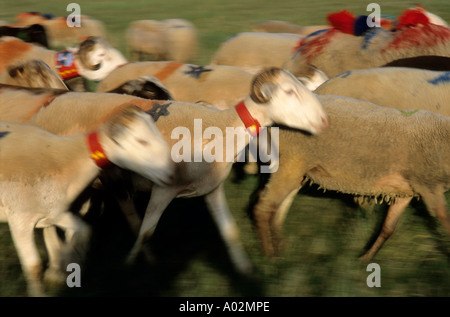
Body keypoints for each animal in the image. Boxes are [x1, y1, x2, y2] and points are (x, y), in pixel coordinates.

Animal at [0, 67, 330, 274]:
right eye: (289, 92)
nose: (324, 121)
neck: (221, 128)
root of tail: (52, 101)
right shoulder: (164, 188)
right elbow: (146, 232)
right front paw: (132, 264)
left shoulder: (212, 189)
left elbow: (230, 232)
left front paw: (245, 269)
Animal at [0, 105, 172, 296]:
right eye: (142, 141)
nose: (171, 173)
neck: (59, 161)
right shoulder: (20, 220)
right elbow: (34, 268)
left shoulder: (55, 213)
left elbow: (84, 231)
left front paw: (68, 262)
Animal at [250, 95, 450, 260]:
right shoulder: (428, 184)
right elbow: (444, 219)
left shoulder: (406, 191)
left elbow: (388, 228)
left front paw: (365, 259)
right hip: (292, 160)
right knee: (263, 207)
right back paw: (269, 257)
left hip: (297, 168)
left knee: (276, 207)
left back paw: (280, 249)